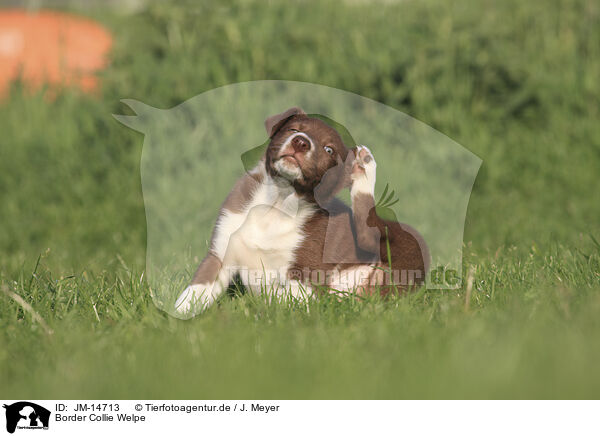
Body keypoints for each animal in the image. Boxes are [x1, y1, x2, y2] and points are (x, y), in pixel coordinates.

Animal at [173, 107, 426, 316]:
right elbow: (195, 292)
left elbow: (281, 296)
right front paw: (176, 316)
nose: (300, 142)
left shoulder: (306, 279)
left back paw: (364, 165)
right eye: (294, 129)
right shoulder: (220, 254)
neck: (277, 203)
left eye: (328, 149)